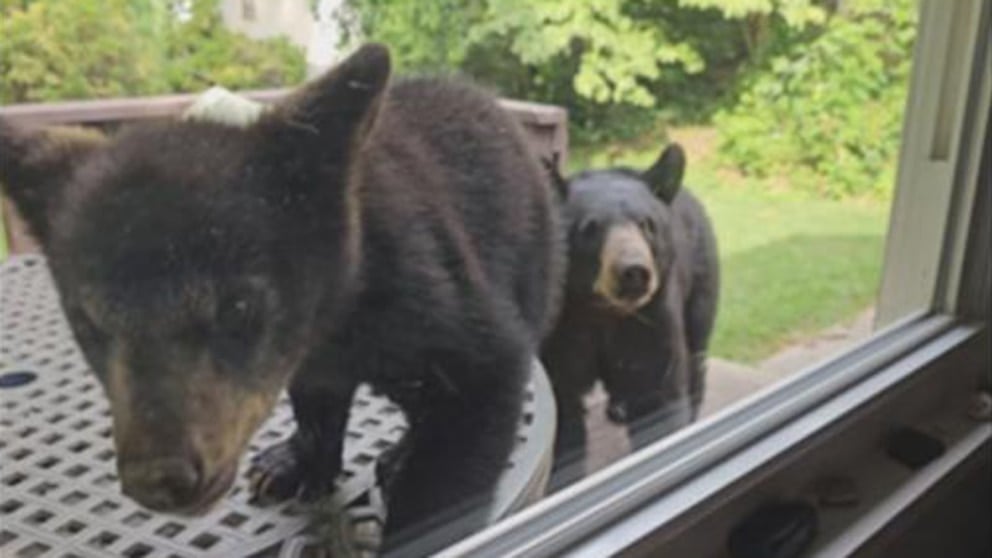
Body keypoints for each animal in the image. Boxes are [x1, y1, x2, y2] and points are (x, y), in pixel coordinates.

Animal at [0, 44, 560, 556]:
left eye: (238, 307)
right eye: (88, 322)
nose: (159, 478)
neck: (340, 312)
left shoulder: (432, 295)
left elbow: (472, 409)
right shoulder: (312, 352)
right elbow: (315, 396)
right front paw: (297, 462)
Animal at [544, 143, 720, 486]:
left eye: (647, 224)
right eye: (589, 228)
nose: (634, 271)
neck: (602, 311)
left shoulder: (653, 319)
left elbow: (658, 388)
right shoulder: (562, 326)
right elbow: (563, 412)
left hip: (701, 278)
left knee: (696, 348)